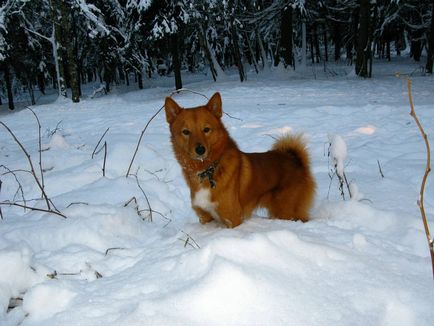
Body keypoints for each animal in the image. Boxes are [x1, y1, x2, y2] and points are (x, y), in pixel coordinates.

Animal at [164, 93, 316, 228]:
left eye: (206, 129)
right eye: (186, 132)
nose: (200, 150)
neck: (208, 169)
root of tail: (294, 158)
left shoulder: (232, 218)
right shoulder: (205, 217)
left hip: (286, 212)